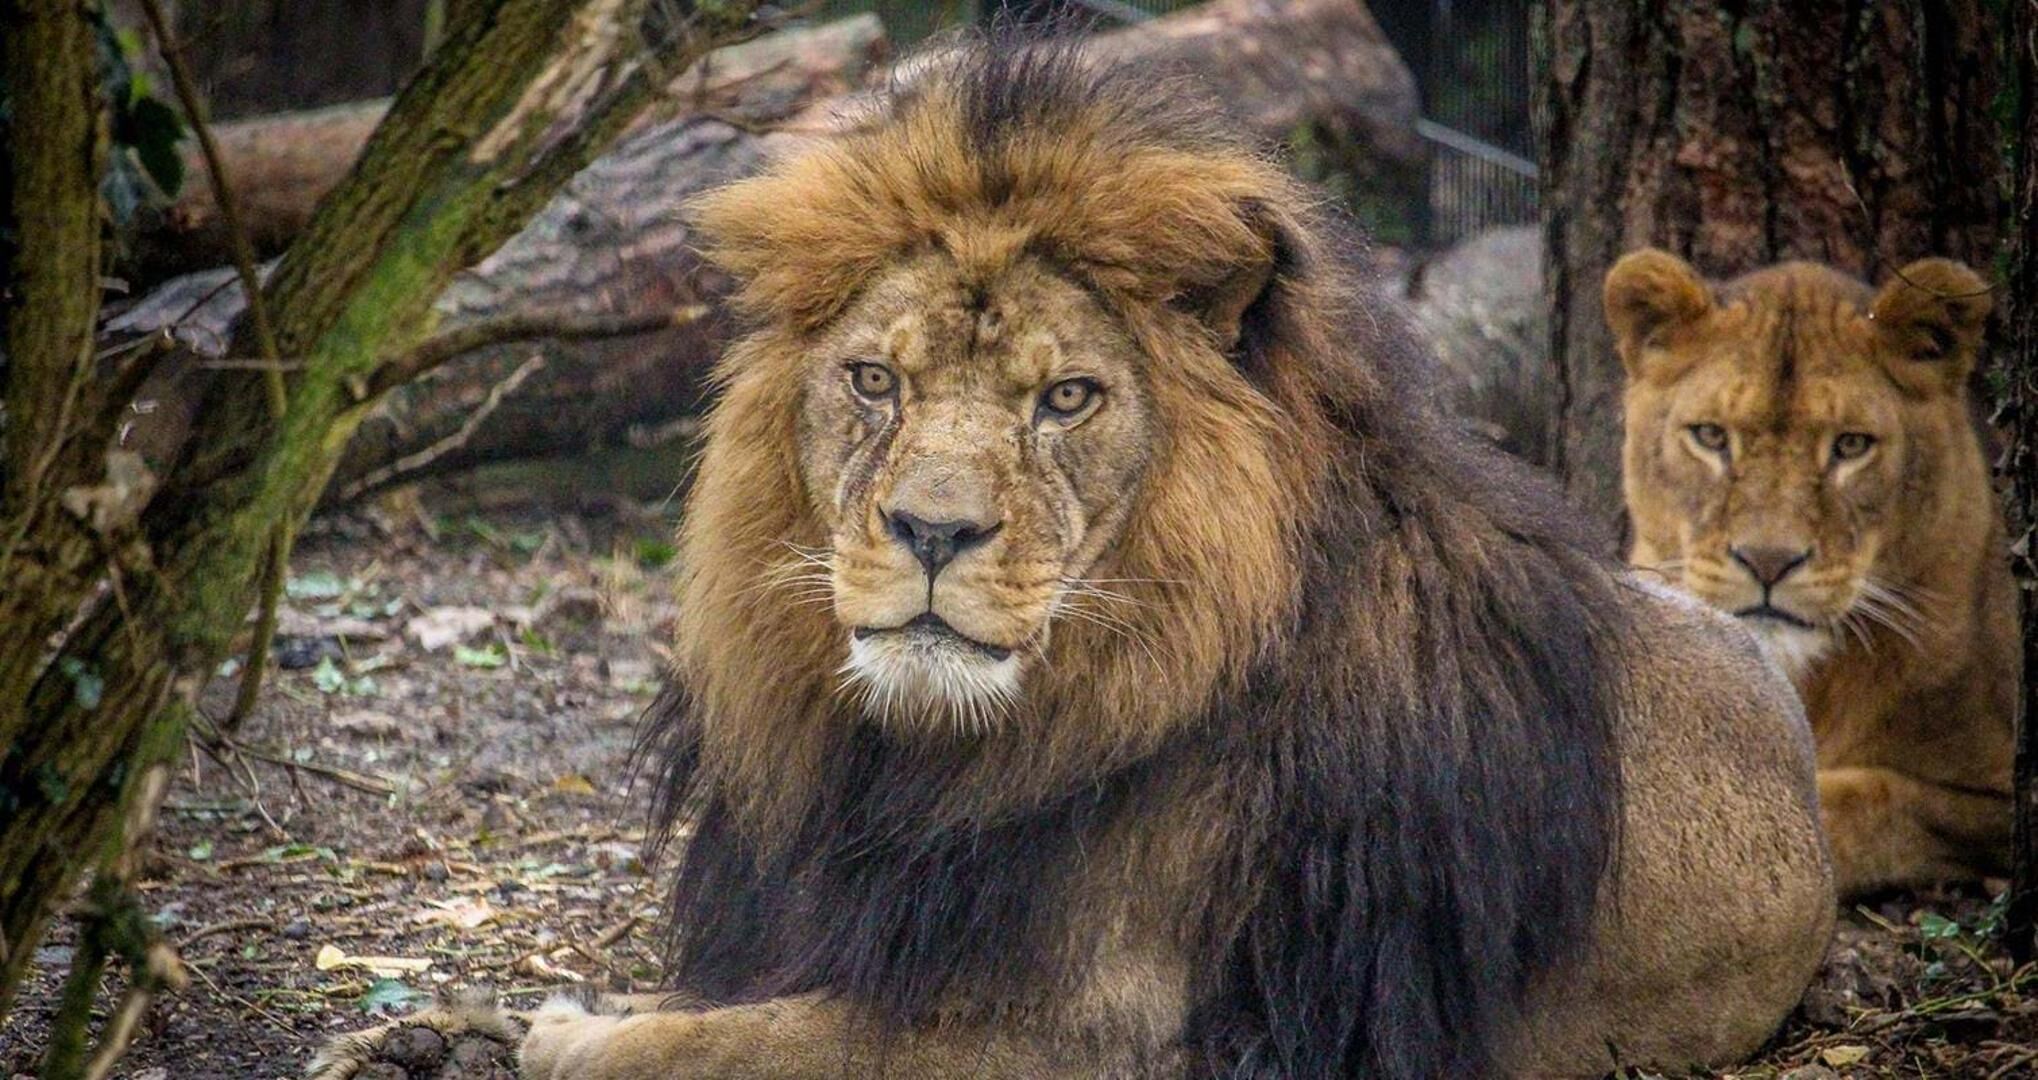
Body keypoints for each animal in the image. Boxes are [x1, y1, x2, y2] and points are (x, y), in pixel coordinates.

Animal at [313, 39, 1832, 1080]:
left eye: (1065, 400)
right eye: (874, 380)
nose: (933, 532)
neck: (935, 754)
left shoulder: (1095, 1031)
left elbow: (740, 1041)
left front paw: (564, 1039)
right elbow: (714, 1006)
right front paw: (439, 1028)